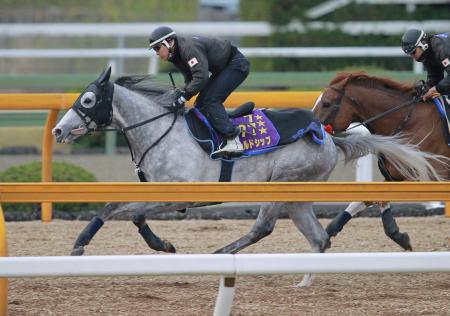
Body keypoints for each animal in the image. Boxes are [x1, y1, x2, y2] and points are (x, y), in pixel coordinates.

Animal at [312, 72, 450, 252]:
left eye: (327, 103)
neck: (408, 121)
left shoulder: (426, 176)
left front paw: (399, 236)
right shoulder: (395, 176)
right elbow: (370, 198)